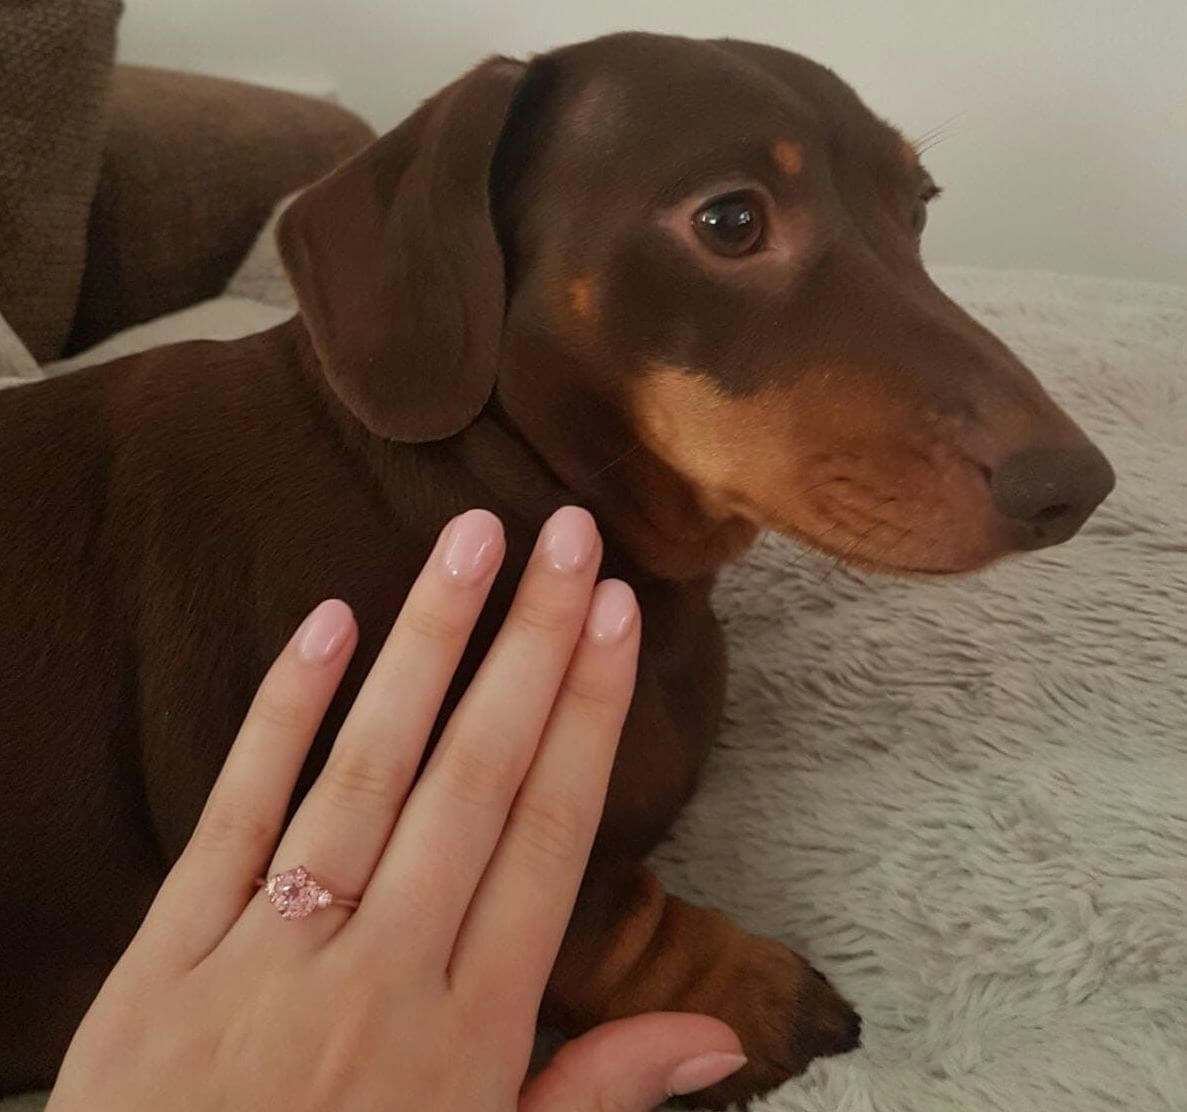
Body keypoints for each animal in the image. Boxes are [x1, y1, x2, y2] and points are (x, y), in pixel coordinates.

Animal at [0, 30, 1111, 1106]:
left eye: (916, 207)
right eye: (729, 221)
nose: (1075, 486)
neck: (507, 477)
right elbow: (586, 909)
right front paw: (747, 997)